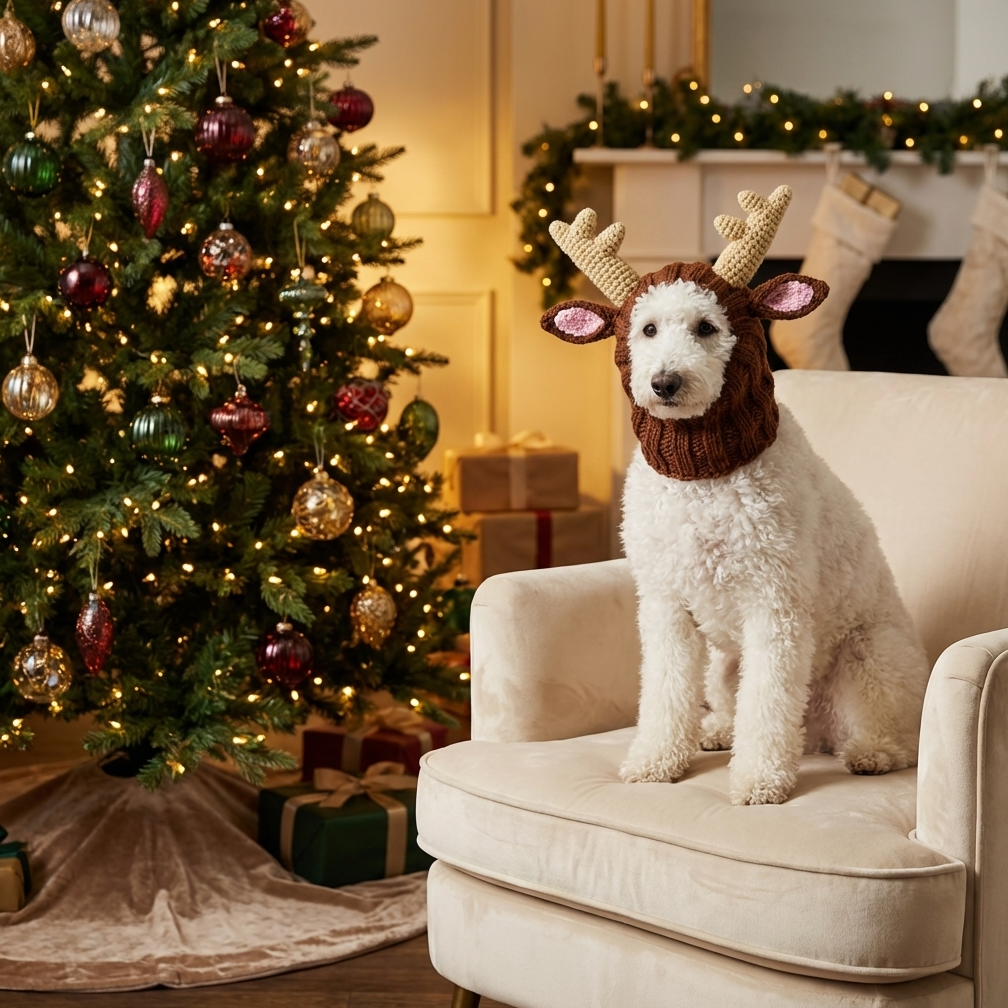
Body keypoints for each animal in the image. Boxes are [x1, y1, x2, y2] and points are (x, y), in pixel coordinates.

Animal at [540, 186, 930, 805]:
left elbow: (767, 704)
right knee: (734, 704)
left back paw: (870, 752)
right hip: (725, 665)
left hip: (871, 656)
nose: (665, 383)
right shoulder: (666, 606)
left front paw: (760, 780)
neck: (704, 477)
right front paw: (656, 760)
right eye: (647, 329)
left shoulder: (776, 606)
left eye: (706, 327)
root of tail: (816, 733)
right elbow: (665, 691)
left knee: (894, 733)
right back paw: (718, 730)